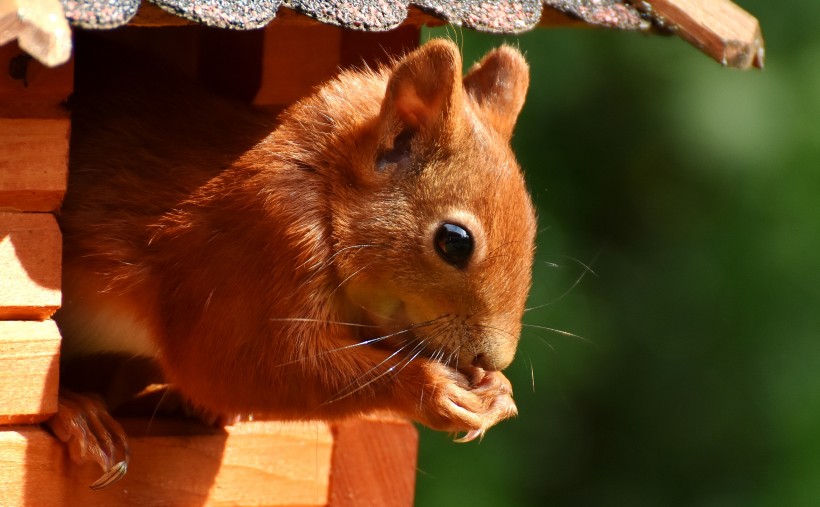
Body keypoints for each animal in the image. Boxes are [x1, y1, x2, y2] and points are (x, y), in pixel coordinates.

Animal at [51, 39, 540, 488]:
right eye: (454, 242)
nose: (491, 358)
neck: (324, 188)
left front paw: (497, 390)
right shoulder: (248, 247)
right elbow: (229, 366)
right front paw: (433, 389)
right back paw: (78, 411)